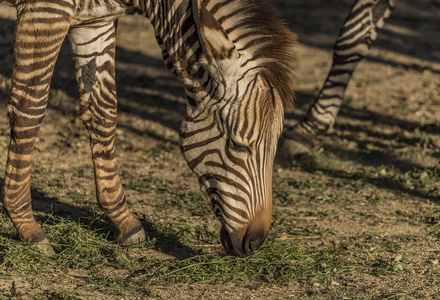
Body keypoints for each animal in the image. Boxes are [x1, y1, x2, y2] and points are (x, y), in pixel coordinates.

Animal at [0, 0, 296, 258]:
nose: (255, 243)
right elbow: (29, 110)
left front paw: (124, 220)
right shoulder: (45, 10)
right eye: (238, 145)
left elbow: (103, 111)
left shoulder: (96, 20)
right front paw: (26, 225)